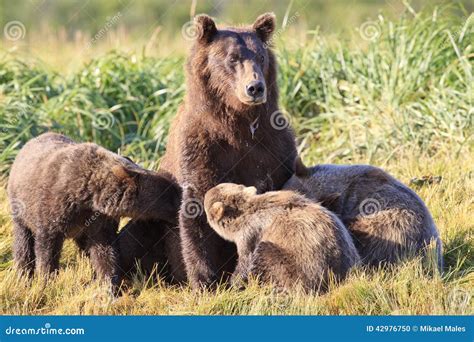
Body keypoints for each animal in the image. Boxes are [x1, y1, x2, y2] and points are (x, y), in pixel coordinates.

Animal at [161, 12, 298, 288]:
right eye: (232, 58)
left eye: (261, 56)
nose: (255, 87)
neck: (236, 125)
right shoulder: (201, 149)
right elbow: (196, 210)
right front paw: (204, 280)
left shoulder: (274, 148)